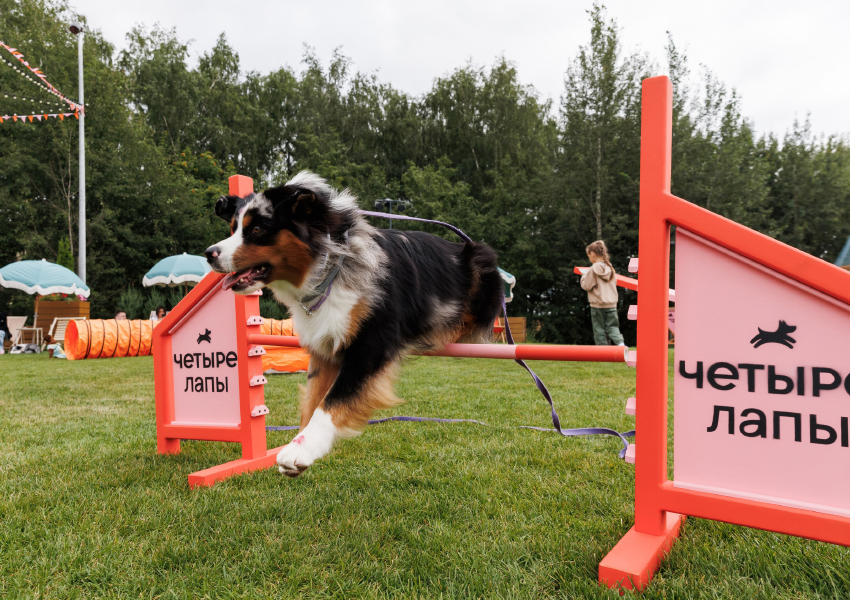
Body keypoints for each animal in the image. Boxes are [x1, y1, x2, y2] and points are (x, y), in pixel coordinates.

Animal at [202, 171, 500, 476]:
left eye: (257, 229)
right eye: (233, 228)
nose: (209, 253)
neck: (331, 267)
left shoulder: (371, 344)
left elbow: (333, 399)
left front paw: (300, 449)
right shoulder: (324, 346)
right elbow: (314, 399)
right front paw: (301, 443)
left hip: (481, 265)